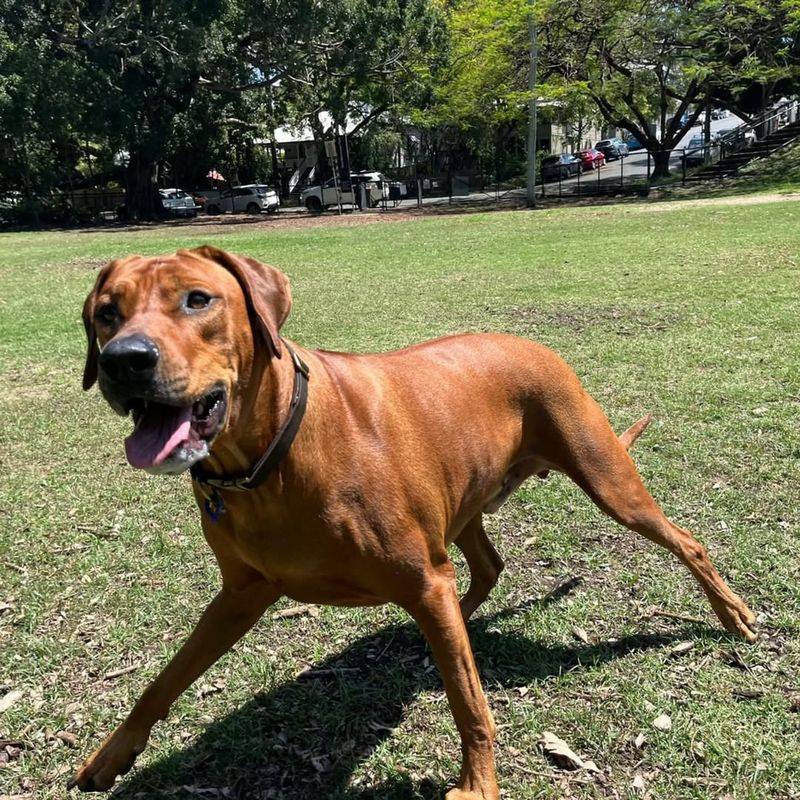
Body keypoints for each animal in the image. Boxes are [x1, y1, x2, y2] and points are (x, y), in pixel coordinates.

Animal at [70, 247, 756, 796]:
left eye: (198, 299)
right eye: (107, 312)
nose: (123, 359)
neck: (267, 459)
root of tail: (534, 344)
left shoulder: (421, 578)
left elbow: (470, 704)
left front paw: (478, 784)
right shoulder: (241, 593)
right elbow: (164, 680)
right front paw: (111, 755)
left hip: (606, 478)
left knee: (685, 542)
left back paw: (734, 615)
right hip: (461, 503)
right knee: (486, 568)